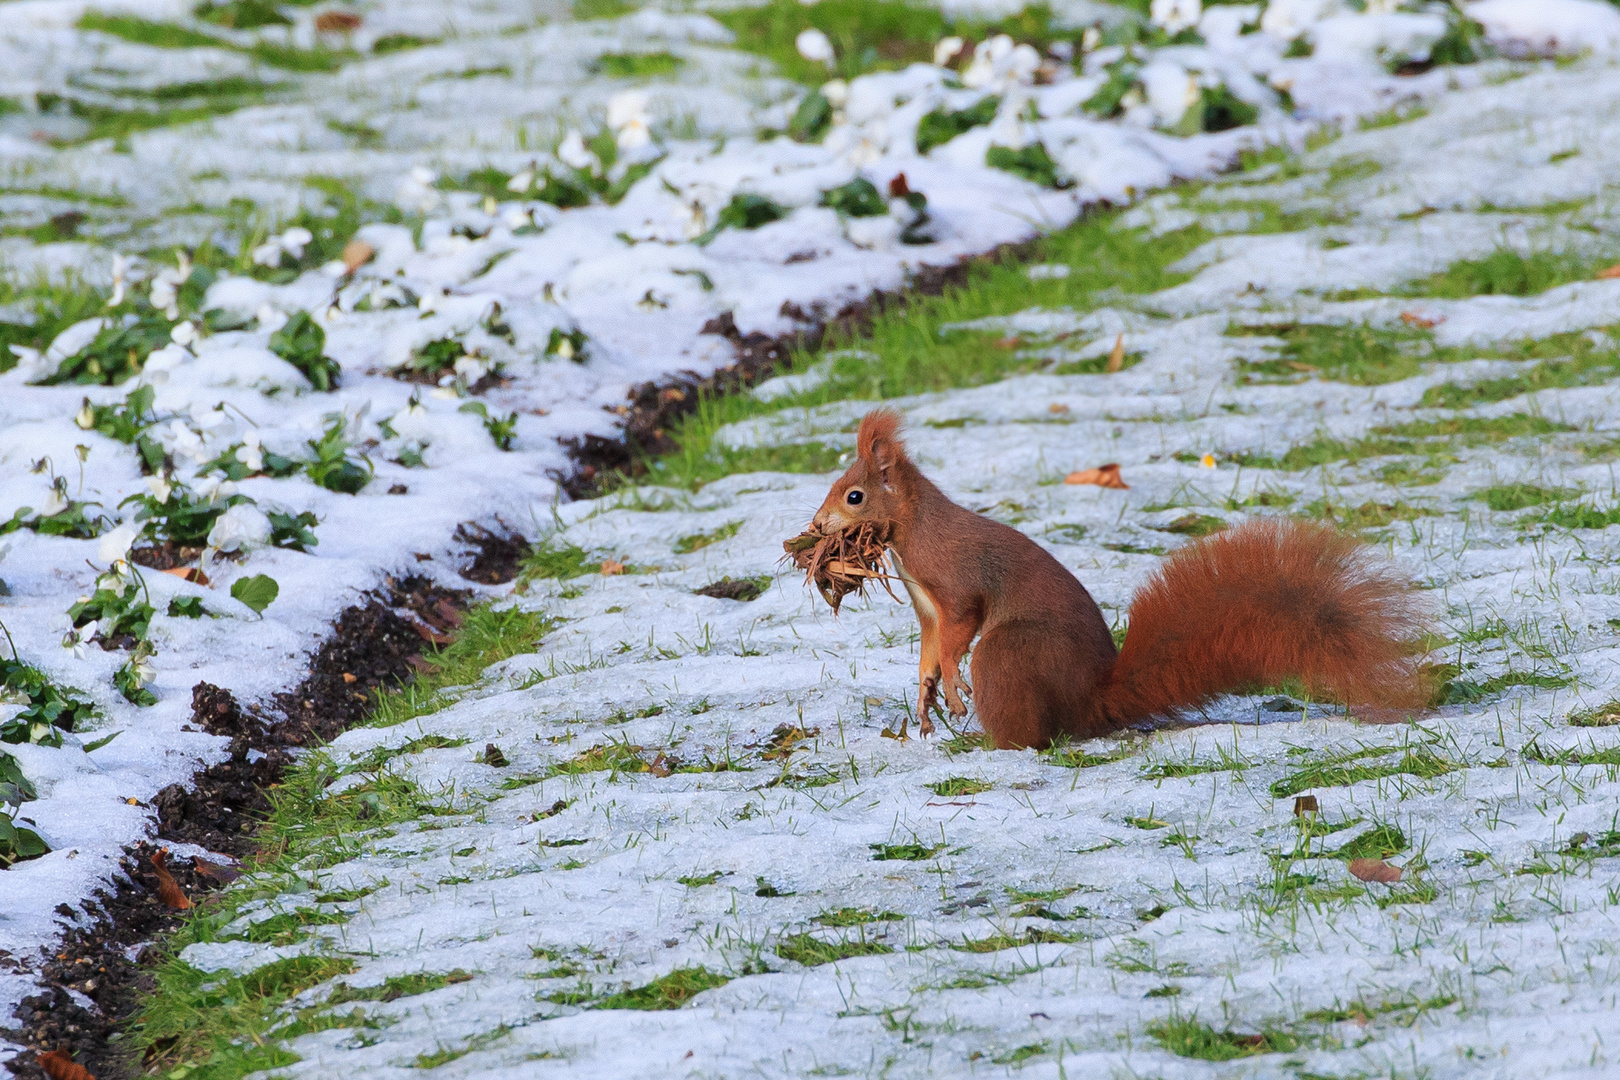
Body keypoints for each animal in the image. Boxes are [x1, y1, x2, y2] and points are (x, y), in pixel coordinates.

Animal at [816, 409, 1425, 748]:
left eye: (855, 495)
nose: (819, 526)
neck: (910, 533)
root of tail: (1090, 701)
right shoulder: (926, 607)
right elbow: (927, 648)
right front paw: (925, 699)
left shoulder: (956, 584)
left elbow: (958, 632)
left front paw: (953, 688)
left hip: (1012, 652)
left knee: (1029, 730)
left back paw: (990, 740)